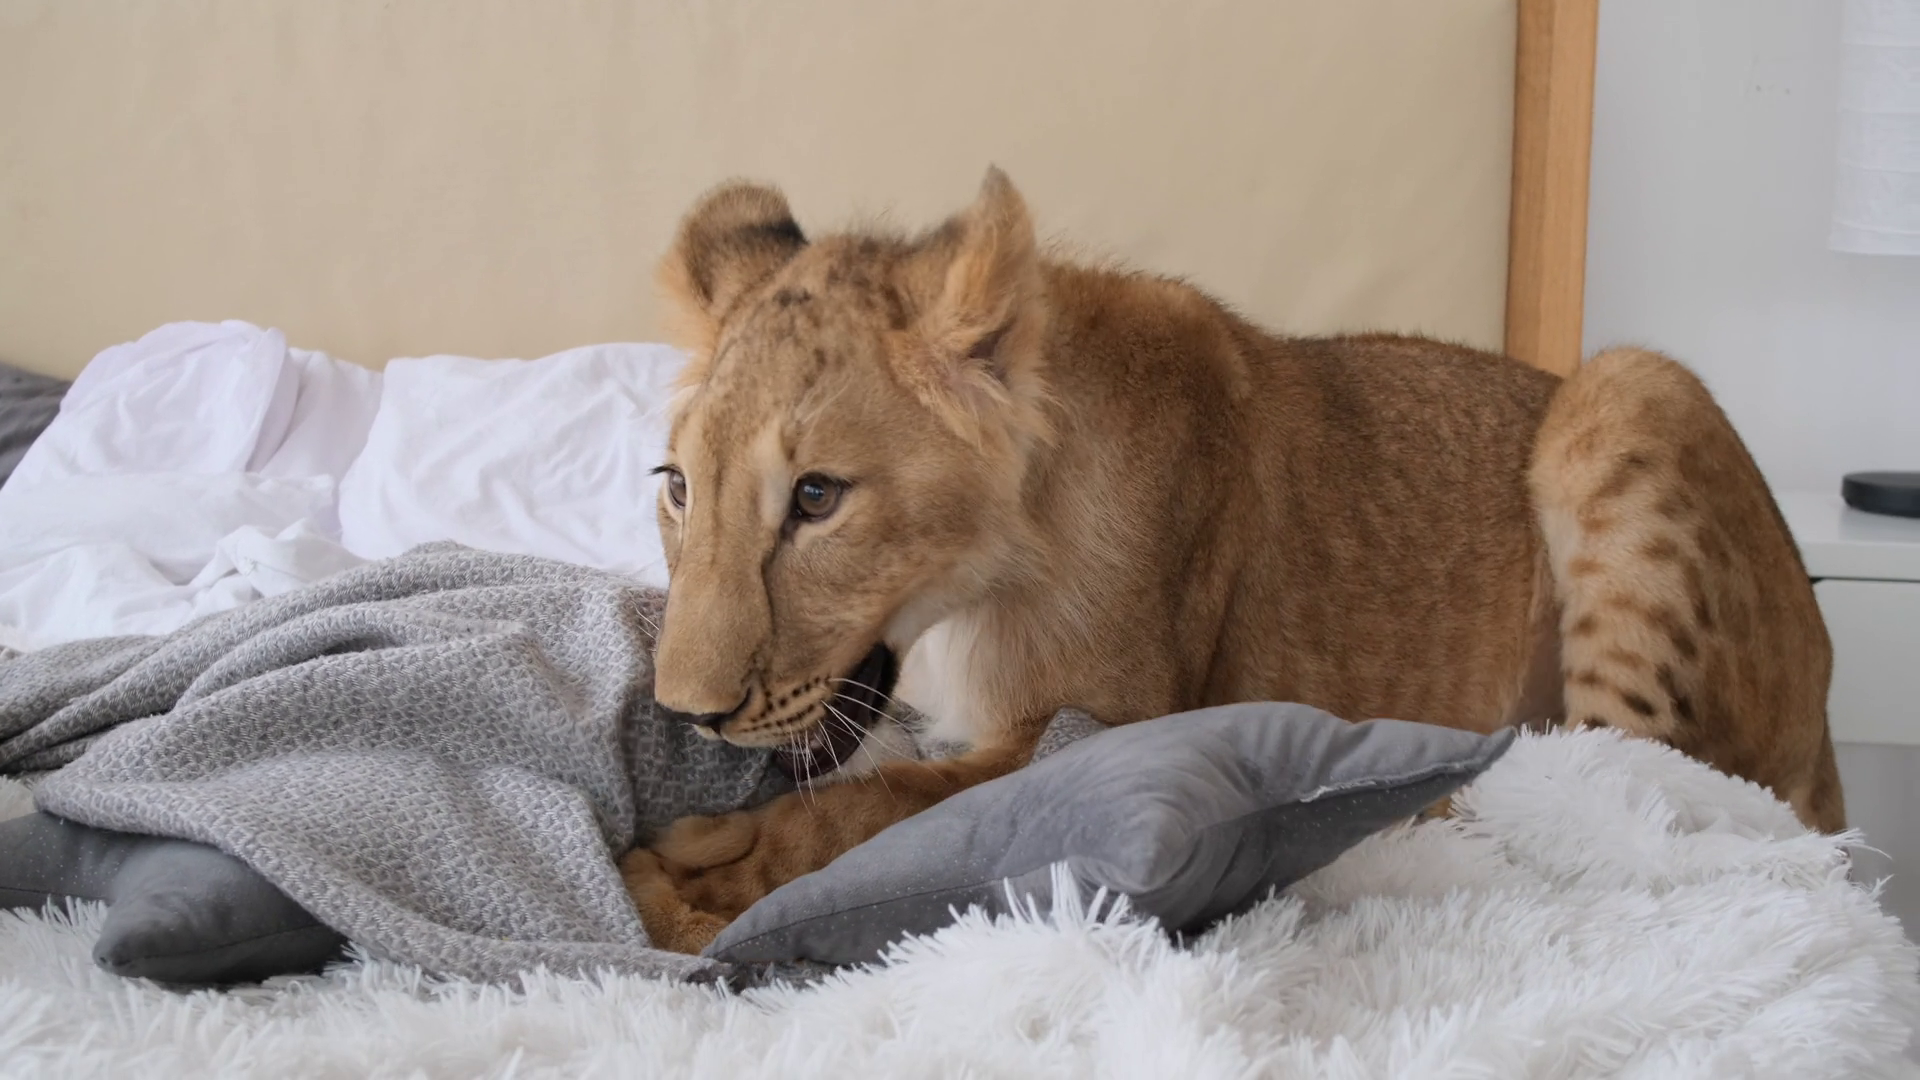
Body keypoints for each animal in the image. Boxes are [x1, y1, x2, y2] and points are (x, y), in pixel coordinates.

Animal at [619, 168, 1843, 954]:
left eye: (817, 498)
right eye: (676, 486)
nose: (687, 714)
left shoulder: (1104, 725)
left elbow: (874, 814)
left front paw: (680, 873)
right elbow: (864, 788)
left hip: (1631, 386)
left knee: (1625, 794)